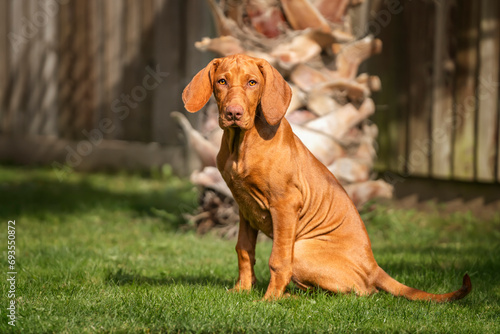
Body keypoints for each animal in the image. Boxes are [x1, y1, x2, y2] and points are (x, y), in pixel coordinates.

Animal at [182, 53, 470, 302]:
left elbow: (278, 260)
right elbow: (244, 250)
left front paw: (268, 299)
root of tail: (374, 266)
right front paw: (242, 290)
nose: (234, 113)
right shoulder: (244, 207)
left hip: (302, 250)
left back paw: (289, 296)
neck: (241, 143)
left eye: (252, 83)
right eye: (222, 81)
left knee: (362, 292)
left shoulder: (285, 204)